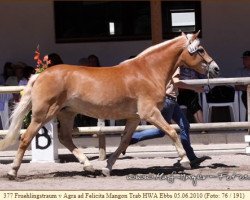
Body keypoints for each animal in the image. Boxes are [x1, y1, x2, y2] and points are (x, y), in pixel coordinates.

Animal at [0, 31, 219, 178]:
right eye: (200, 49)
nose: (215, 68)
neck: (148, 71)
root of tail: (41, 74)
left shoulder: (134, 118)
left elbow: (123, 141)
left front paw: (107, 167)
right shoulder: (150, 113)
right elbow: (172, 132)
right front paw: (185, 160)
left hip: (66, 113)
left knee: (65, 138)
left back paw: (89, 167)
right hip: (43, 114)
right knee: (26, 138)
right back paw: (12, 171)